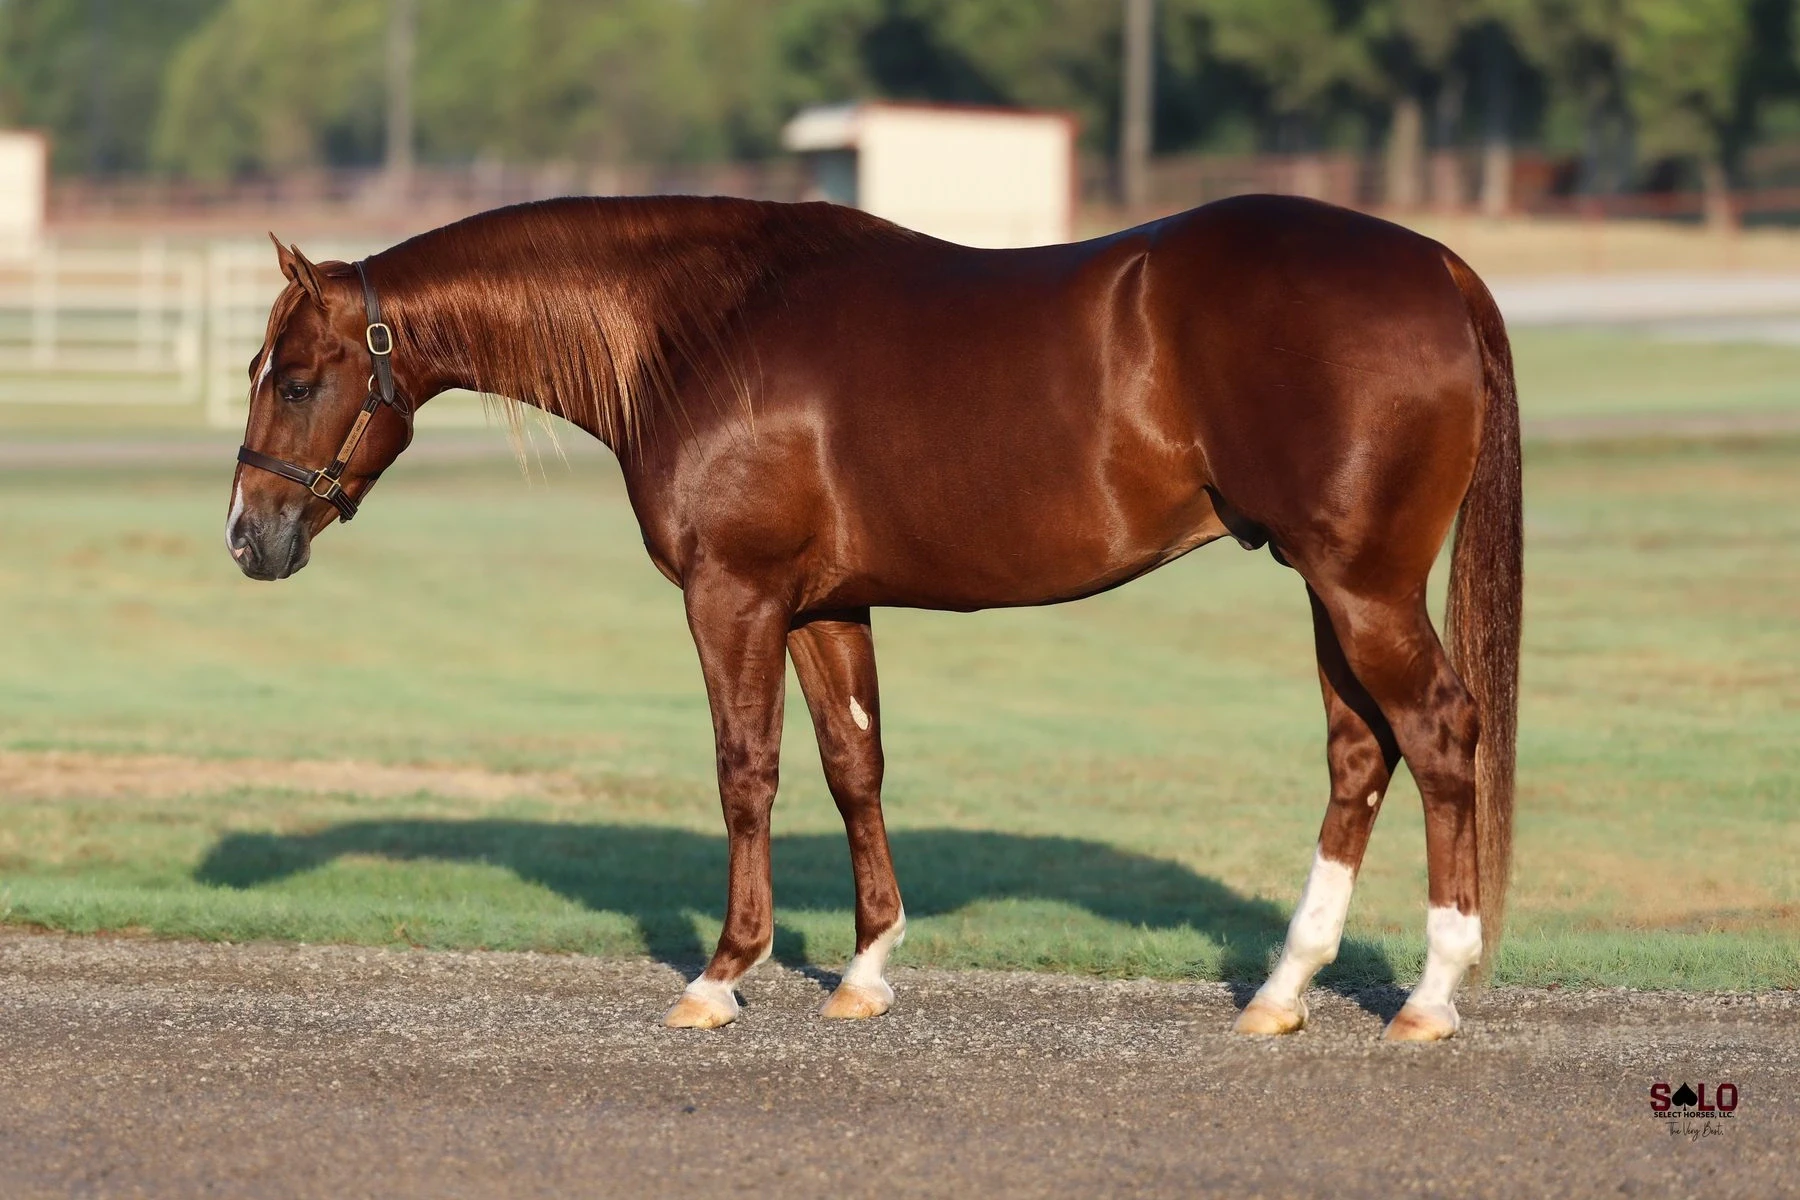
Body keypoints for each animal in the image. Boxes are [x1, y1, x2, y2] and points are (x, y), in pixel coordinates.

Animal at [227, 193, 1521, 1040]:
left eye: (296, 379)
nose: (249, 537)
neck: (700, 323)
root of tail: (1440, 270)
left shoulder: (733, 595)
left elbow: (746, 770)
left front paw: (721, 974)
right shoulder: (827, 607)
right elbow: (856, 765)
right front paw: (866, 969)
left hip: (1360, 585)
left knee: (1439, 734)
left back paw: (1430, 993)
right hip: (1329, 584)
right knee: (1360, 753)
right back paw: (1283, 991)